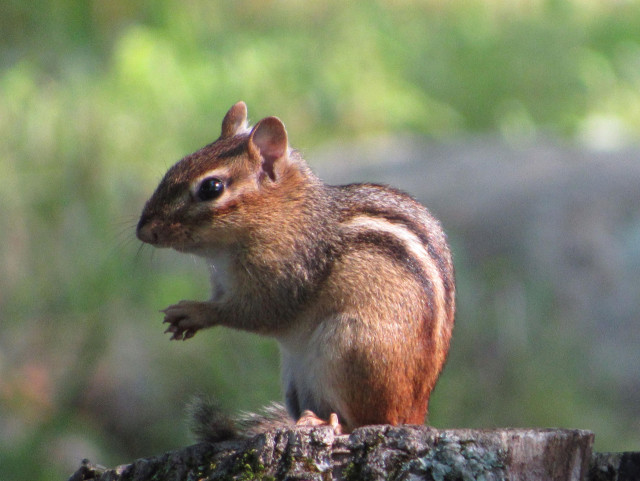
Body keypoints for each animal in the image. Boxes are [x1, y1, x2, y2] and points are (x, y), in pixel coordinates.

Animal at [136, 101, 455, 439]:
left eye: (212, 187)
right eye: (175, 166)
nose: (144, 231)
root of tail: (414, 414)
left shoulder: (285, 276)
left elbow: (256, 312)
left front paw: (194, 312)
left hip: (352, 348)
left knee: (366, 420)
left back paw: (327, 422)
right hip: (296, 378)